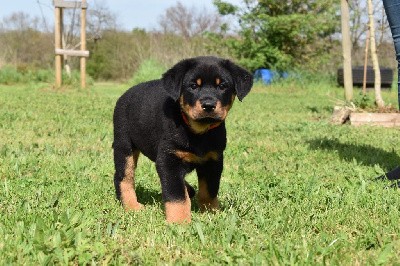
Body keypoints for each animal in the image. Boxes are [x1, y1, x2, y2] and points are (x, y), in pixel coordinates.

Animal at [111, 56, 253, 222]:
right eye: (193, 86)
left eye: (223, 86)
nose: (208, 105)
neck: (198, 132)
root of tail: (125, 94)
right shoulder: (169, 159)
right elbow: (176, 195)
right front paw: (179, 221)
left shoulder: (213, 160)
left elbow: (209, 190)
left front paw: (211, 213)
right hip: (124, 144)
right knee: (124, 177)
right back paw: (132, 206)